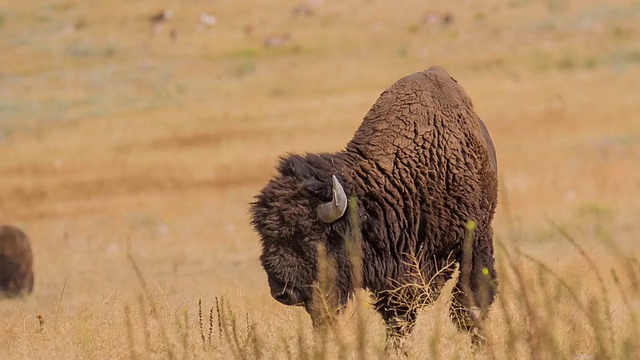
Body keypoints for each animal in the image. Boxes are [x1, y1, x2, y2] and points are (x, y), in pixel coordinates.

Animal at [250, 65, 500, 352]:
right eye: (266, 237)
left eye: (308, 237)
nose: (281, 291)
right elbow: (397, 318)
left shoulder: (476, 239)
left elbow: (471, 302)